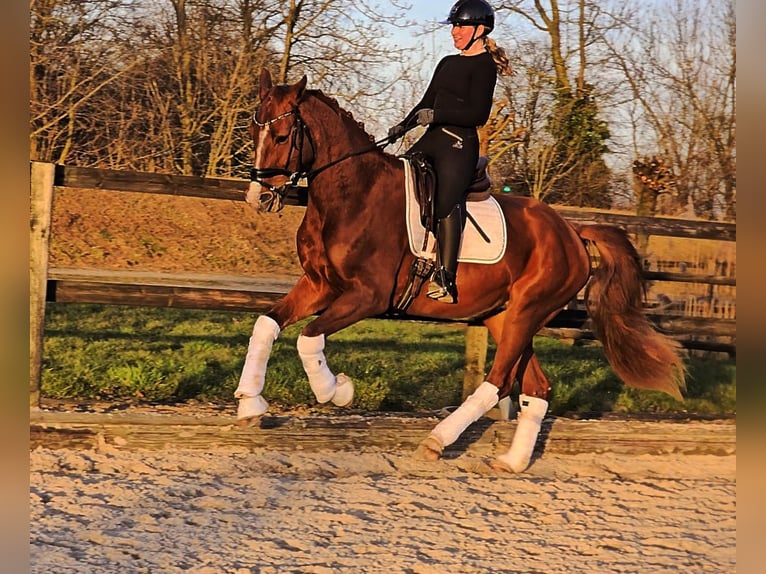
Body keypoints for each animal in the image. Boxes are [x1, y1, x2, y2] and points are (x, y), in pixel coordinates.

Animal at [237, 68, 688, 472]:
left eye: (281, 136)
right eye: (253, 132)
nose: (259, 198)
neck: (354, 195)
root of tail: (572, 231)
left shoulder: (367, 296)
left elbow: (309, 339)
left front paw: (338, 392)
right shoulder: (319, 285)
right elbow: (267, 324)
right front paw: (250, 403)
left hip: (526, 312)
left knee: (499, 381)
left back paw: (437, 441)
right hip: (503, 316)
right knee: (536, 386)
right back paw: (513, 462)